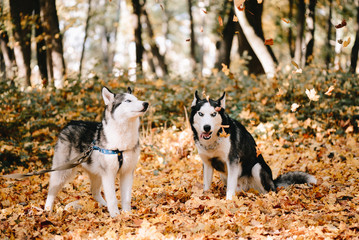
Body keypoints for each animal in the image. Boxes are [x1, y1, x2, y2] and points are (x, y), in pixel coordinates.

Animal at [45, 86, 149, 218]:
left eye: (137, 99)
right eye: (128, 101)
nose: (146, 103)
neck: (121, 140)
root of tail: (70, 123)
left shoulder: (127, 172)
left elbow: (126, 198)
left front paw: (127, 214)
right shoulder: (108, 174)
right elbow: (112, 198)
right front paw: (116, 216)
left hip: (97, 174)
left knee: (94, 192)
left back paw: (104, 205)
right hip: (64, 171)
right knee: (51, 190)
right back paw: (47, 209)